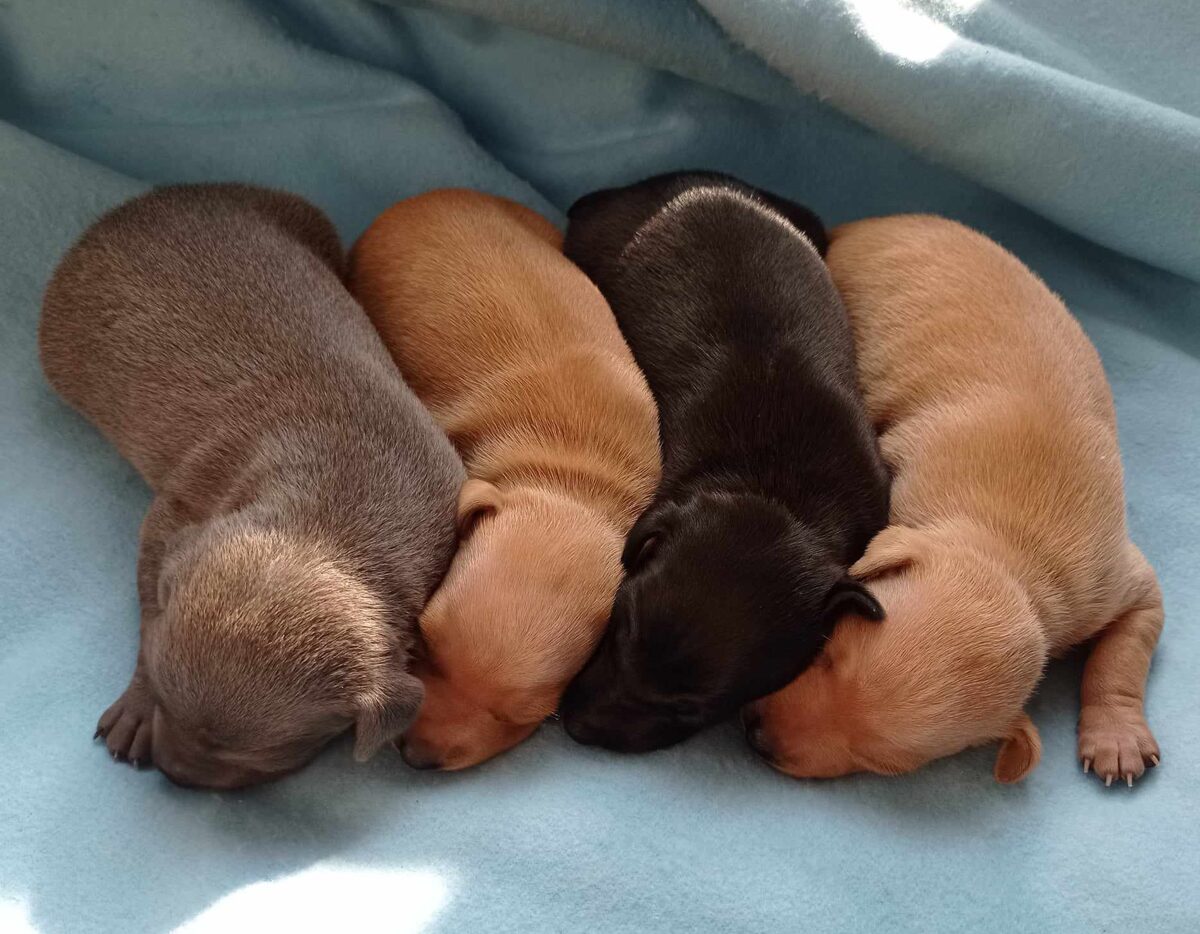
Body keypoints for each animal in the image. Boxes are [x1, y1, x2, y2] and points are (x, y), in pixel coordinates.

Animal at [39, 183, 464, 789]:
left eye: (256, 755)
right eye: (165, 697)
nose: (175, 774)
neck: (330, 521)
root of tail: (140, 205)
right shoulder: (179, 511)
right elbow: (150, 608)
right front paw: (137, 704)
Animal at [746, 215, 1163, 786]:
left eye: (881, 763)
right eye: (828, 652)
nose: (760, 740)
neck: (1010, 555)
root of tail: (864, 223)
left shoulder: (1111, 585)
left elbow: (1125, 652)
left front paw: (1117, 737)